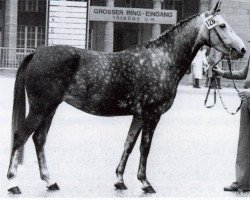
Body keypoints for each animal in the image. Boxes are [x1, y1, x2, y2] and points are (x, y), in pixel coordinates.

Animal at [6, 1, 245, 195]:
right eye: (222, 26)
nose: (242, 49)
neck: (161, 59)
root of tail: (36, 53)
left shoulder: (138, 116)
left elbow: (128, 145)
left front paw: (120, 180)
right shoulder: (152, 115)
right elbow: (144, 148)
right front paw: (145, 183)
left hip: (50, 108)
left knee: (39, 139)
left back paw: (50, 181)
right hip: (40, 108)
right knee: (20, 136)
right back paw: (13, 183)